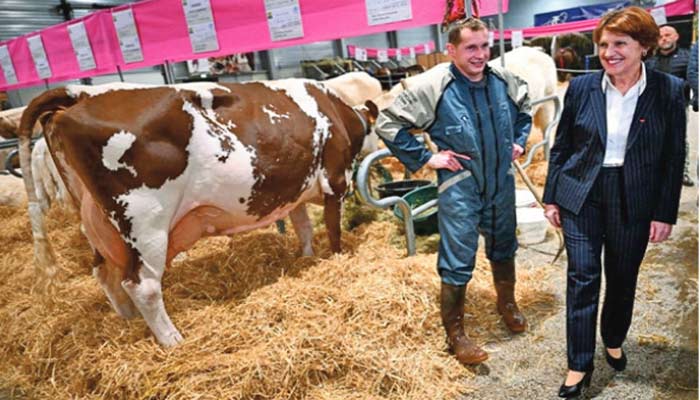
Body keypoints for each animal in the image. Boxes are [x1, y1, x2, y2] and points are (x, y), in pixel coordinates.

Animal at [19, 79, 378, 346]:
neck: (334, 110)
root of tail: (79, 94)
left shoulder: (294, 193)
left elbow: (303, 227)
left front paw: (305, 257)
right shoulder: (335, 181)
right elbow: (333, 231)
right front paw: (336, 259)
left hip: (98, 224)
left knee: (106, 275)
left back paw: (129, 321)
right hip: (145, 222)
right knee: (142, 285)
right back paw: (171, 340)